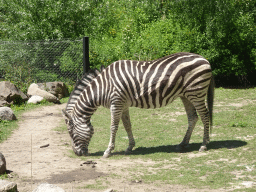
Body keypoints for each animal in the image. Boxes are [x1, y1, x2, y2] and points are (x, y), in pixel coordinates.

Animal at [62, 52, 214, 158]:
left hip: (196, 93)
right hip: (186, 95)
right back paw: (183, 144)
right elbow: (127, 125)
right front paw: (130, 147)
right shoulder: (123, 104)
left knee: (205, 116)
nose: (77, 154)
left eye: (71, 132)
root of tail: (205, 59)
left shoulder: (116, 103)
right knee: (193, 117)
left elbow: (113, 127)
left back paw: (204, 144)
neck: (103, 87)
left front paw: (108, 151)